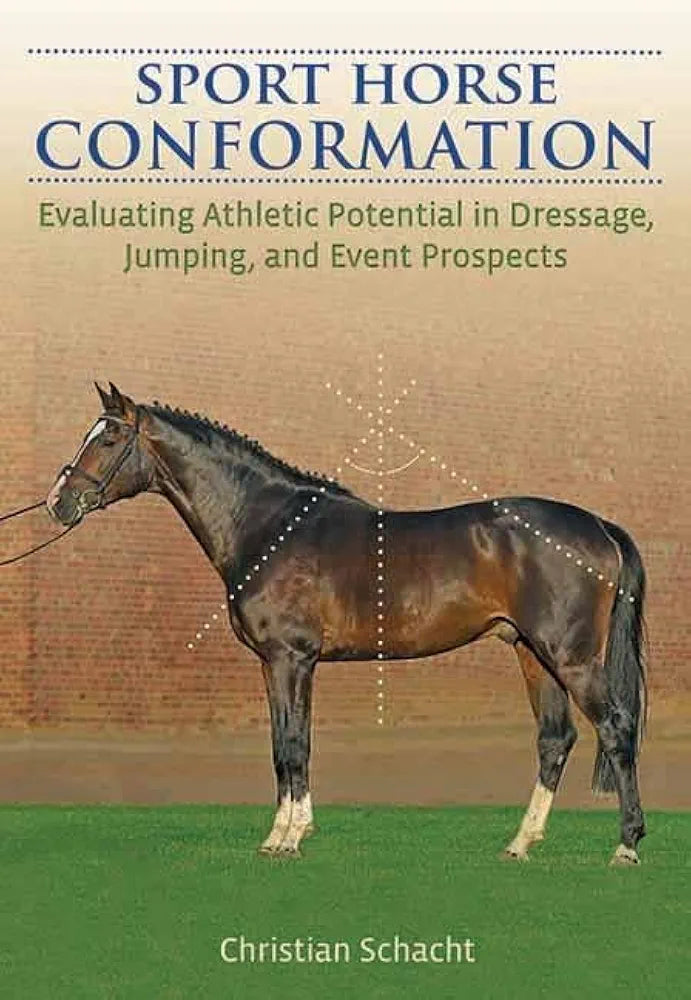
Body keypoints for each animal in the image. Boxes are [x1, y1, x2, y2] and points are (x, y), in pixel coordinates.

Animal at [46, 382, 647, 865]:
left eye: (107, 439)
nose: (59, 502)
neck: (268, 526)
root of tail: (600, 525)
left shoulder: (292, 658)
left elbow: (293, 744)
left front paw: (286, 839)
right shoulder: (276, 665)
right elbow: (285, 743)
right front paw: (287, 832)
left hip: (570, 658)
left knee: (615, 728)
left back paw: (626, 845)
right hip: (531, 652)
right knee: (555, 738)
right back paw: (521, 843)